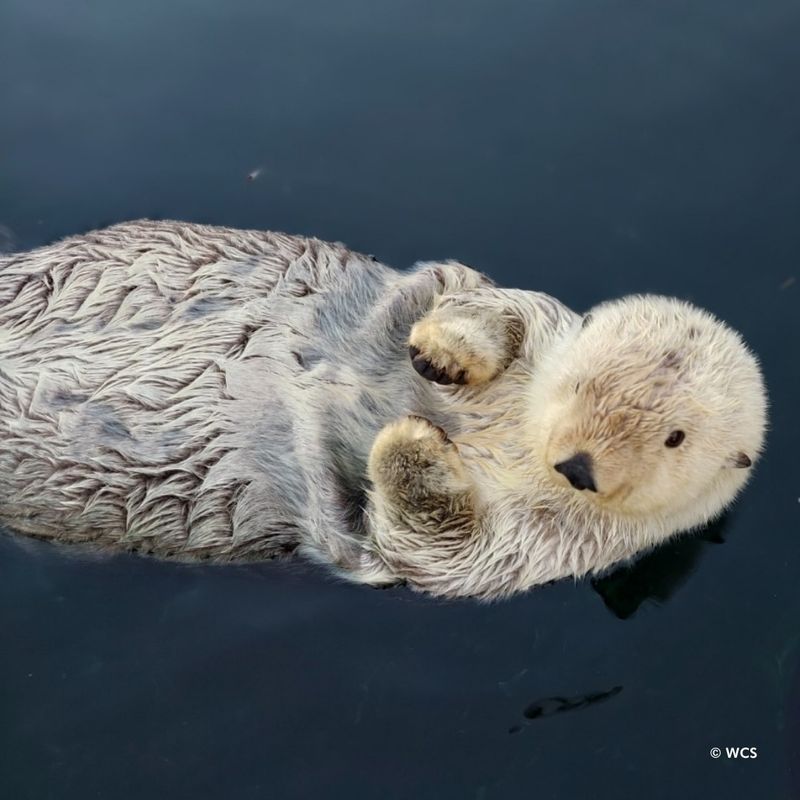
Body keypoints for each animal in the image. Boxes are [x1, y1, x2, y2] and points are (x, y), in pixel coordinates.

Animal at [0, 222, 764, 596]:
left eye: (675, 438)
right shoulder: (536, 318)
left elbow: (439, 549)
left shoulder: (543, 545)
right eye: (582, 386)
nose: (577, 466)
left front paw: (410, 442)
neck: (516, 432)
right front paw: (443, 354)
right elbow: (483, 297)